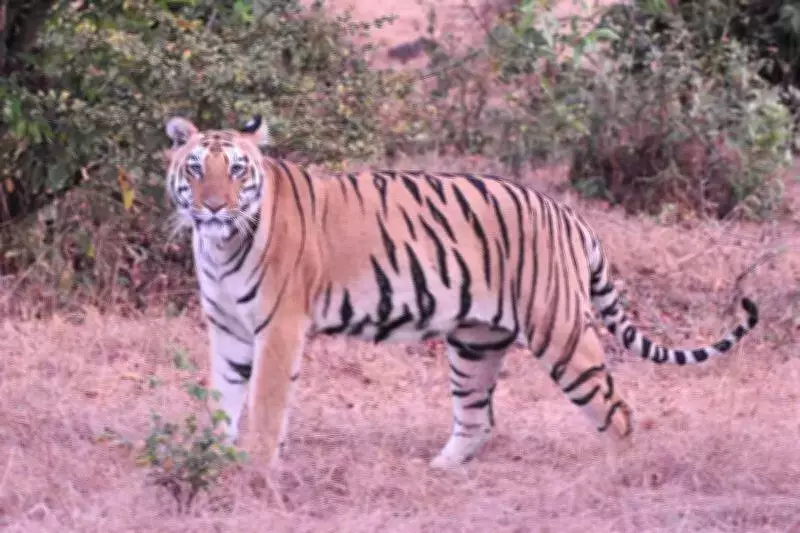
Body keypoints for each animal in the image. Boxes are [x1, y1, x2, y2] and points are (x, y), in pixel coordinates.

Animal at [162, 114, 759, 471]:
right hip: (475, 341)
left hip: (561, 332)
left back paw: (619, 476)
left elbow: (263, 409)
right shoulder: (230, 332)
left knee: (617, 411)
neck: (219, 247)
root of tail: (569, 215)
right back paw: (438, 471)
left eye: (237, 170)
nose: (213, 207)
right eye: (195, 169)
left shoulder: (280, 328)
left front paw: (254, 475)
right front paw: (214, 459)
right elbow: (222, 400)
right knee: (478, 418)